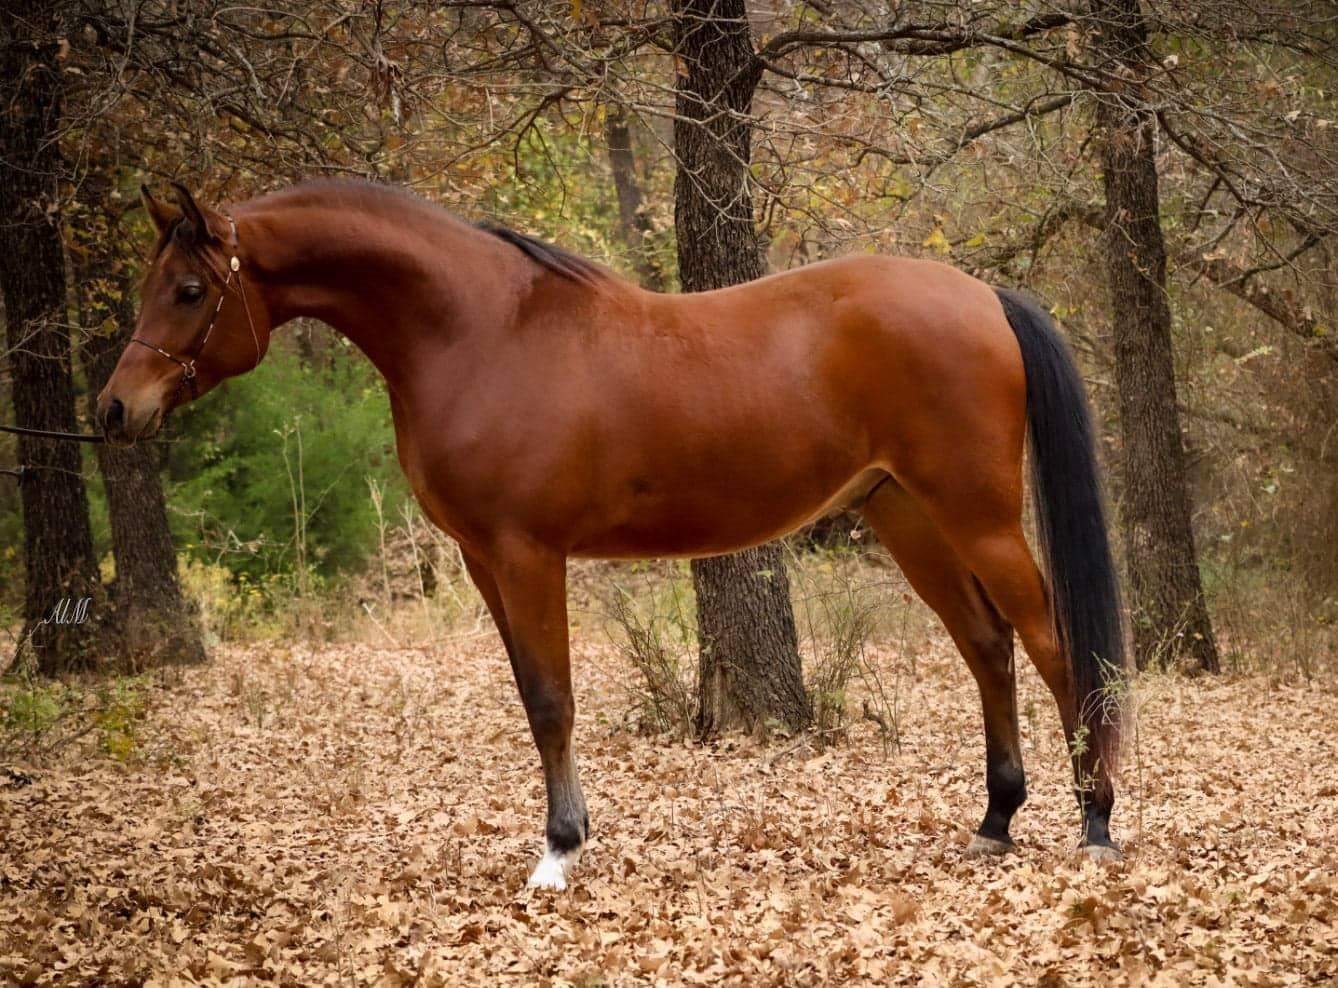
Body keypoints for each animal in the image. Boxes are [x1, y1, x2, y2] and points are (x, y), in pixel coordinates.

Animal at [98, 179, 1126, 890]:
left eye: (187, 290)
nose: (114, 410)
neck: (484, 331)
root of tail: (982, 295)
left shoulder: (526, 554)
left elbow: (554, 700)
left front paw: (558, 855)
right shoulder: (483, 560)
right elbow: (530, 696)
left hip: (977, 517)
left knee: (1054, 648)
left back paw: (1095, 822)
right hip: (904, 513)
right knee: (988, 647)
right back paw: (995, 821)